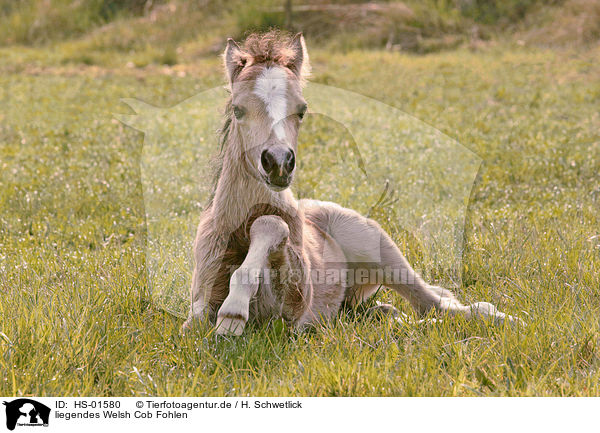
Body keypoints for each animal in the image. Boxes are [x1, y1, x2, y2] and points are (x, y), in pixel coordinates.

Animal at [182, 32, 516, 334]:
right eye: (237, 109)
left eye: (302, 110)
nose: (278, 162)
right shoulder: (197, 311)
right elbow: (197, 321)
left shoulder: (294, 307)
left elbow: (271, 225)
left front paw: (233, 313)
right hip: (356, 305)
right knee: (393, 314)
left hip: (384, 254)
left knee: (435, 305)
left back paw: (505, 318)